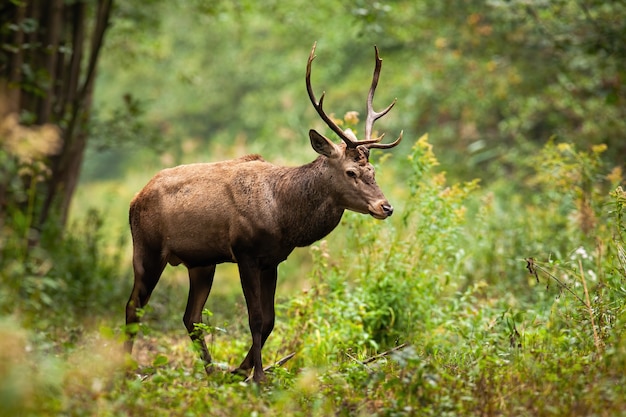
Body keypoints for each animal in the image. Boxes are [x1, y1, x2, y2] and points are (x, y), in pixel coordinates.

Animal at [124, 43, 402, 384]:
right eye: (351, 172)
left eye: (373, 170)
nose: (385, 206)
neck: (283, 215)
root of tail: (135, 199)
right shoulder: (245, 252)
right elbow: (255, 318)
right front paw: (257, 377)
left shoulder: (273, 260)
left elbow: (269, 319)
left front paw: (240, 370)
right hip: (147, 248)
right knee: (134, 306)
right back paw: (125, 369)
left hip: (201, 262)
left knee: (191, 317)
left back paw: (212, 372)